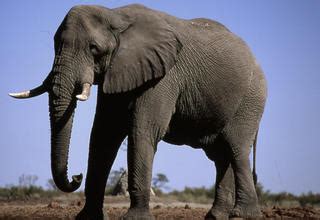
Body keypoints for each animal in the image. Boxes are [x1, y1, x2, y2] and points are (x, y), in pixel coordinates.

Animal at [10, 3, 266, 220]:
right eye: (55, 44)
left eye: (94, 49)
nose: (76, 176)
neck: (115, 15)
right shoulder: (119, 71)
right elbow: (103, 135)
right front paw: (88, 218)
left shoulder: (164, 75)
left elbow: (142, 131)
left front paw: (135, 218)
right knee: (220, 156)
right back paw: (216, 216)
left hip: (250, 99)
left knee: (236, 148)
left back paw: (242, 215)